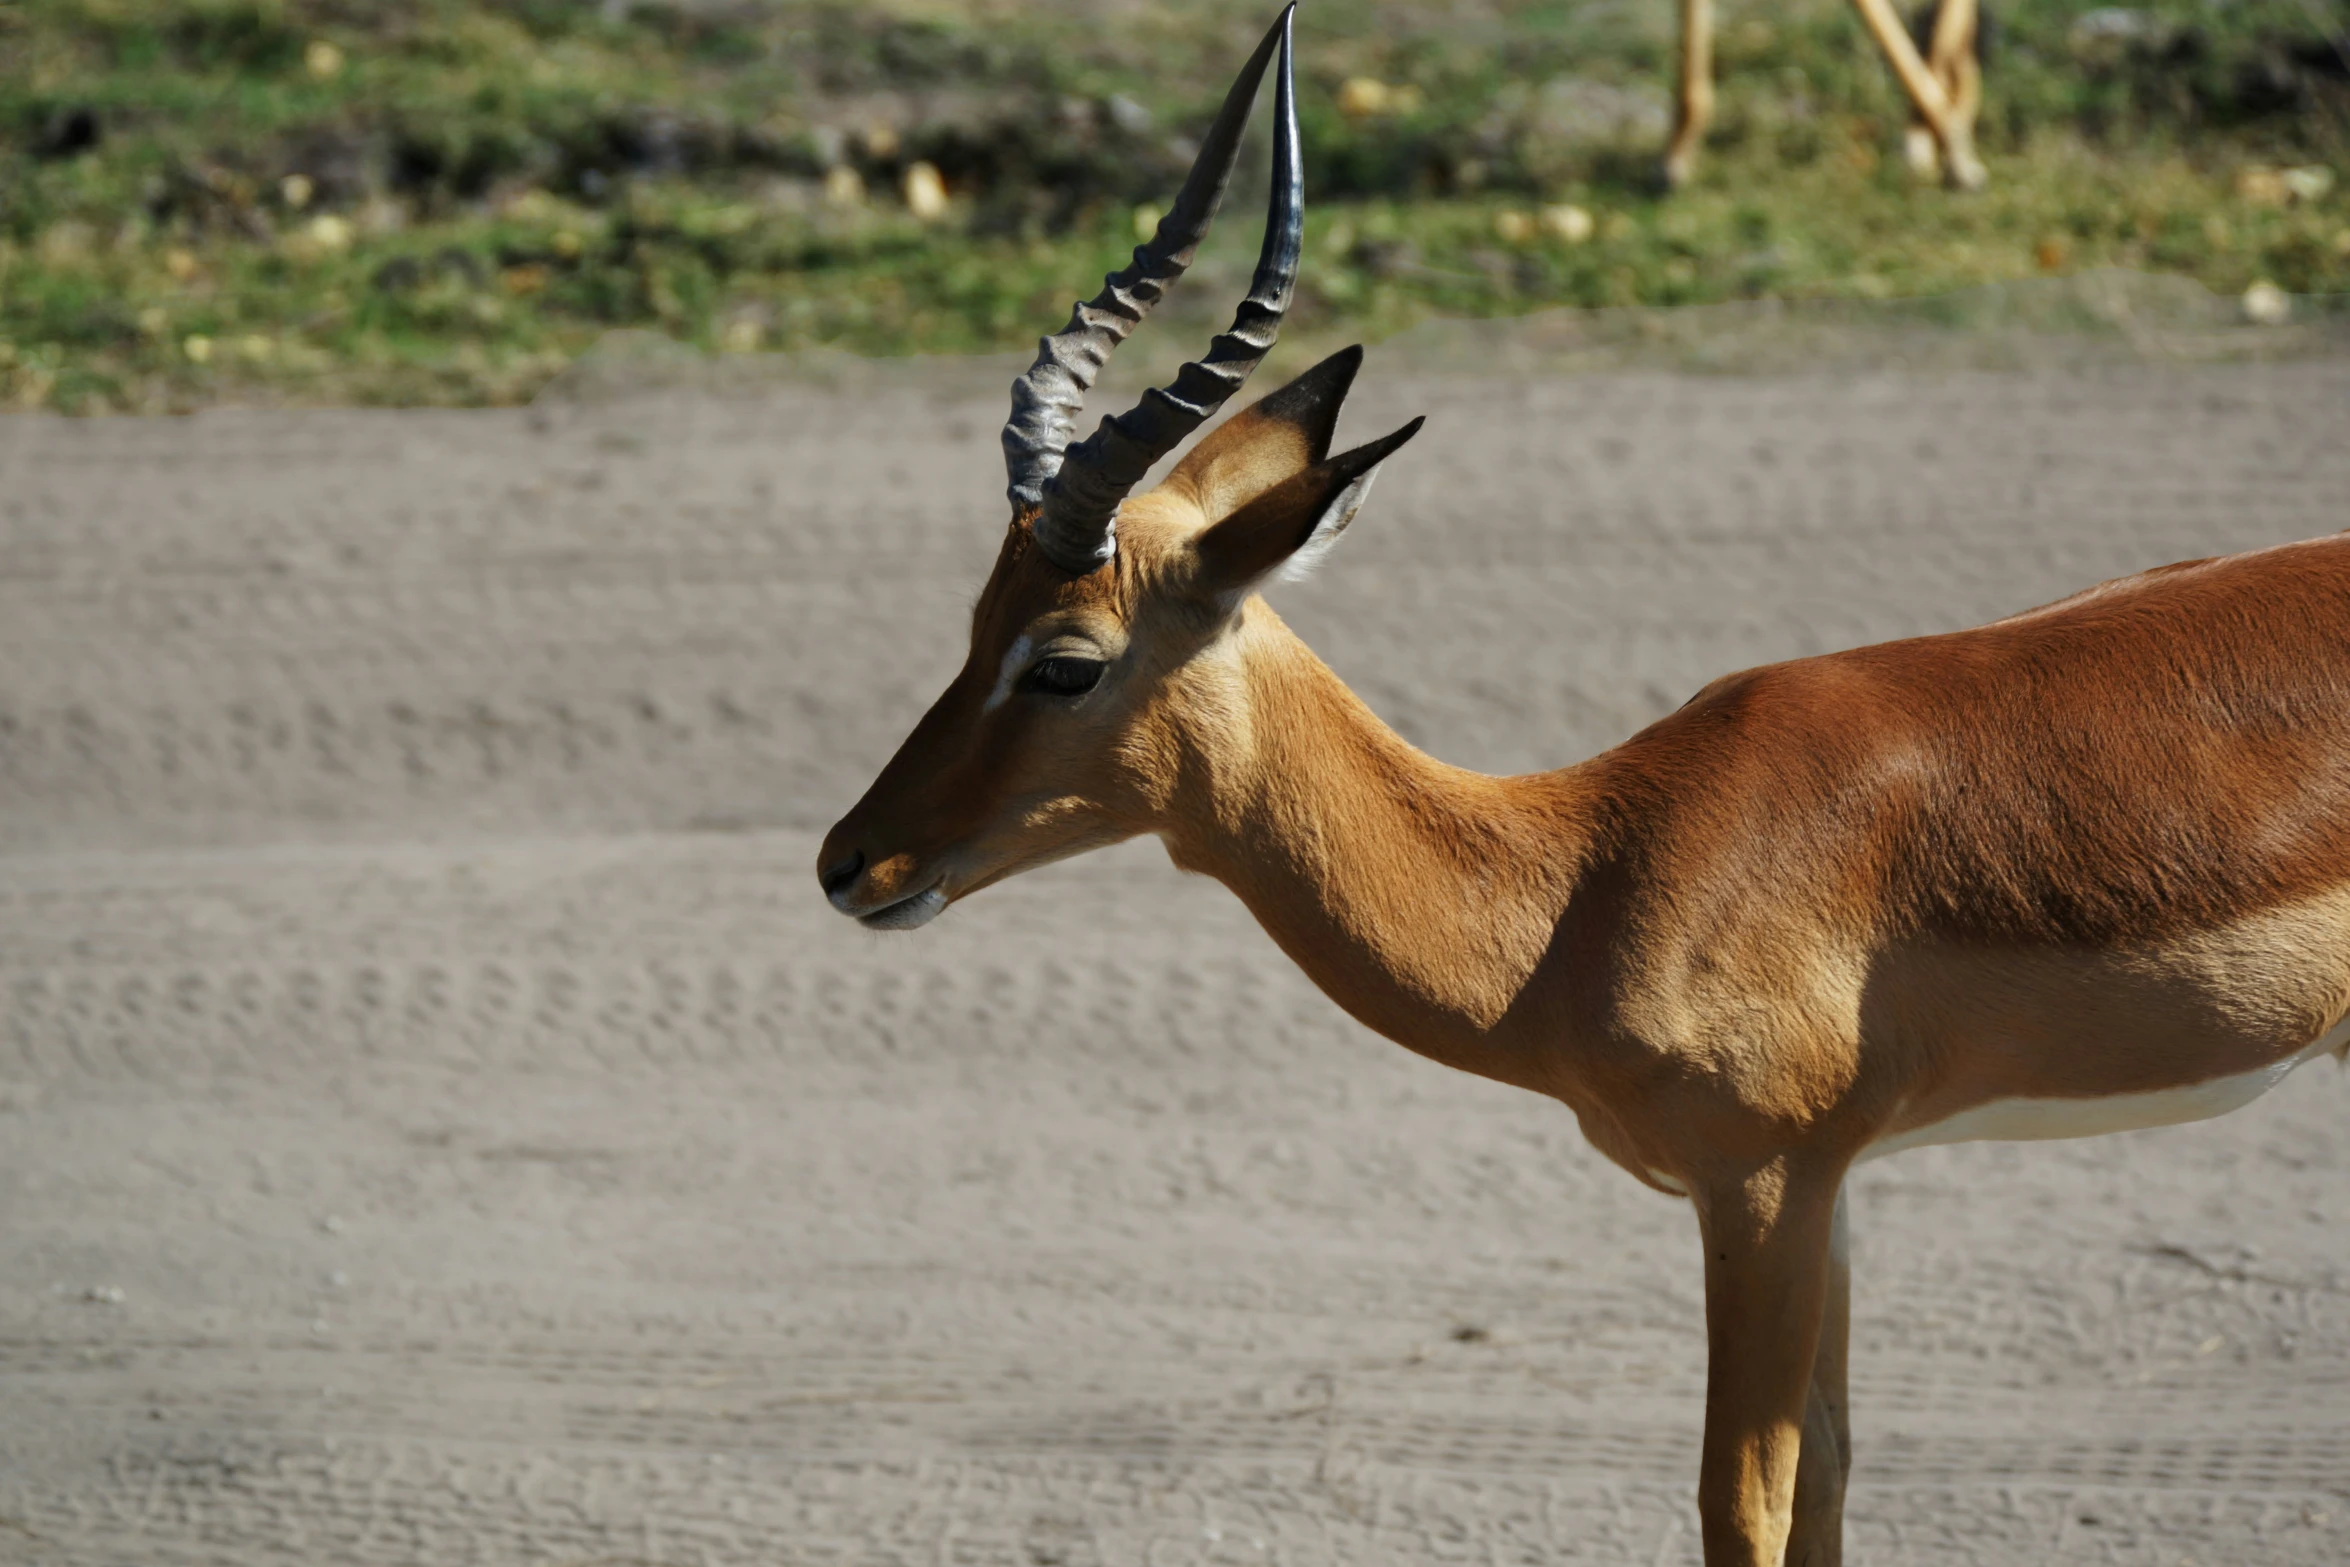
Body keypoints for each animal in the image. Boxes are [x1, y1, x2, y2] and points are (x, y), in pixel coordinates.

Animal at [817, 9, 2340, 1559]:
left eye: (1064, 660)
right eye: (974, 614)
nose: (850, 859)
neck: (1588, 878)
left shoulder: (1763, 1185)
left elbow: (1744, 1495)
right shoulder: (1832, 1188)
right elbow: (1829, 1474)